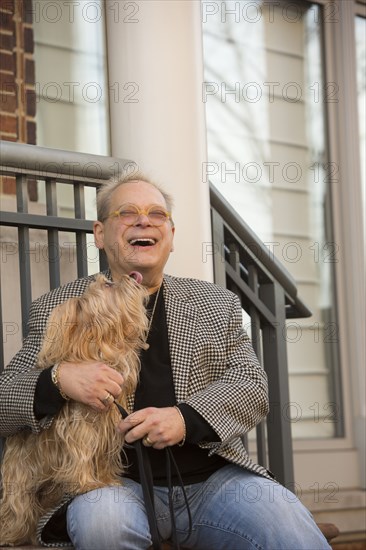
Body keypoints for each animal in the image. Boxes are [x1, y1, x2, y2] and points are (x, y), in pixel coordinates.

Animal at [0, 274, 149, 548]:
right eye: (108, 285)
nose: (129, 275)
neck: (102, 343)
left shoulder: (106, 432)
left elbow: (101, 458)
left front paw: (106, 478)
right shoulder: (80, 431)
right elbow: (81, 455)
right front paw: (88, 484)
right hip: (21, 479)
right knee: (17, 509)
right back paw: (10, 535)